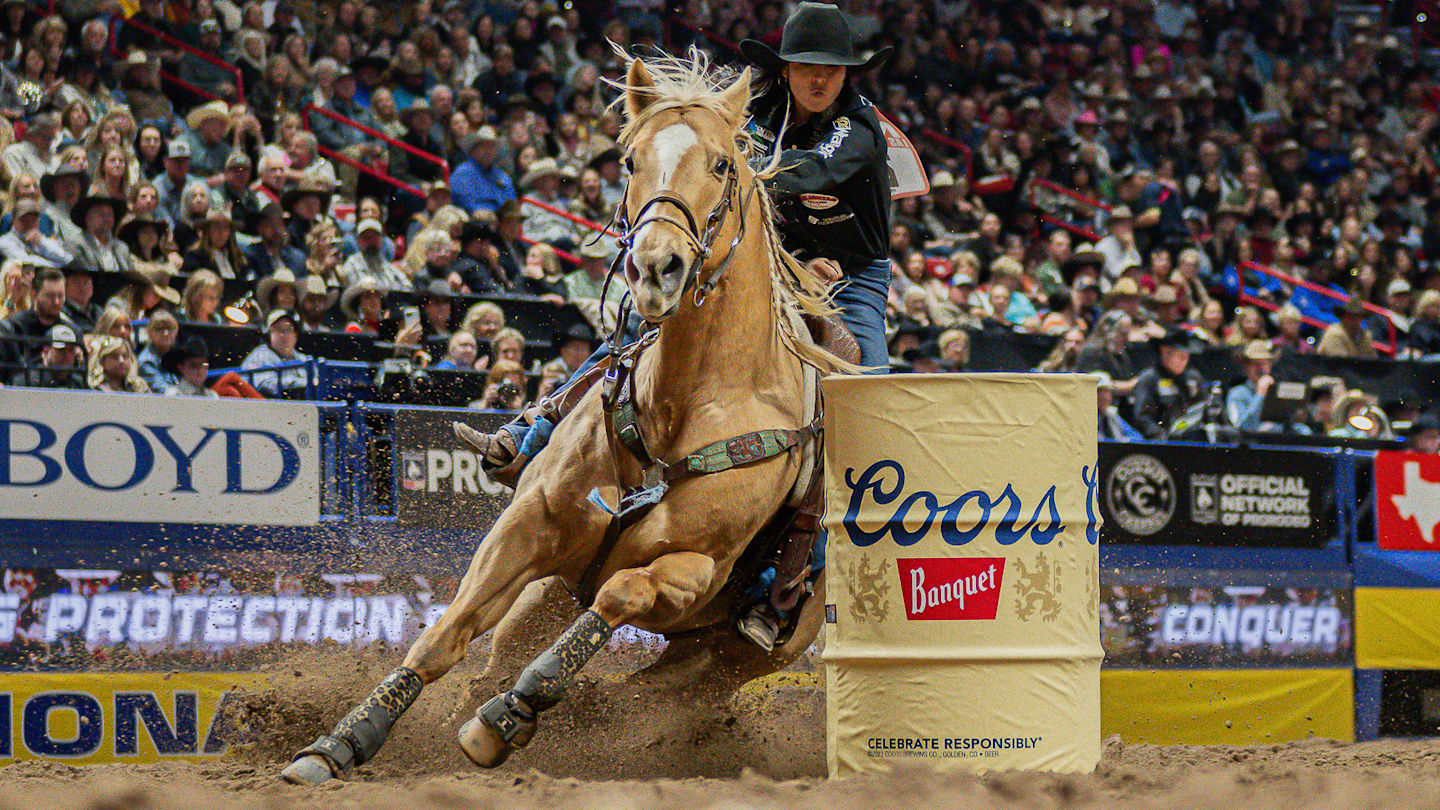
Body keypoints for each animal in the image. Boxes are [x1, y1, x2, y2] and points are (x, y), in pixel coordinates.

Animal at [280, 50, 854, 785]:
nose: (657, 267)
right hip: (555, 591)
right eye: (631, 160)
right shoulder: (527, 531)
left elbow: (619, 598)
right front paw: (341, 741)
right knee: (506, 658)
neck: (681, 406)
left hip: (736, 655)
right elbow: (446, 634)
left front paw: (505, 719)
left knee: (646, 693)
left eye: (723, 163)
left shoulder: (692, 570)